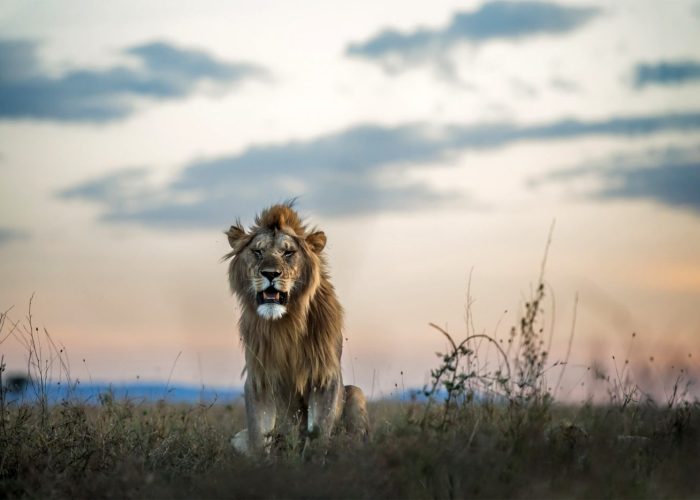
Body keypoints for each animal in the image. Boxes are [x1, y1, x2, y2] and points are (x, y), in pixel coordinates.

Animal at [224, 203, 369, 455]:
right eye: (258, 252)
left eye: (288, 253)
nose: (270, 273)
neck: (285, 324)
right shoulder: (259, 379)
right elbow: (258, 436)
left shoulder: (324, 376)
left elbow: (318, 434)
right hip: (236, 438)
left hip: (356, 394)